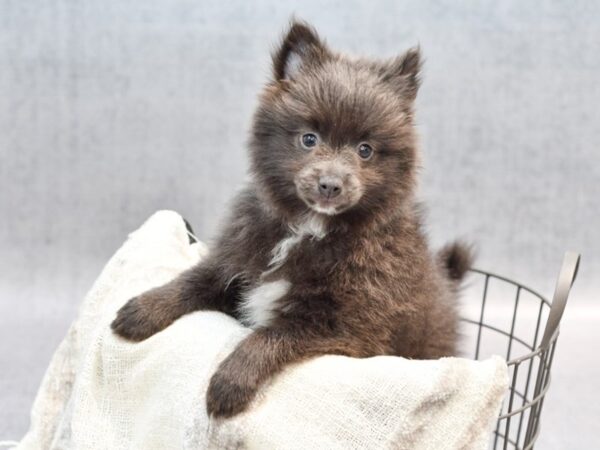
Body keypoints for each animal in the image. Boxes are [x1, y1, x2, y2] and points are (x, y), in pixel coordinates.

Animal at [111, 21, 474, 418]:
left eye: (365, 150)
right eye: (309, 139)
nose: (330, 184)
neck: (308, 228)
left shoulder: (351, 326)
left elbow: (272, 334)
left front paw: (230, 383)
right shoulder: (238, 258)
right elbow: (194, 280)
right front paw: (144, 308)